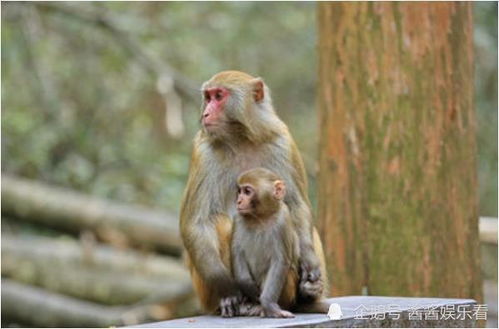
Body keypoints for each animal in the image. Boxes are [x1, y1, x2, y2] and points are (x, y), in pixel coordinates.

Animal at [231, 168, 300, 316]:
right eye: (240, 191)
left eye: (247, 191)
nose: (239, 201)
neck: (260, 217)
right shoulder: (238, 218)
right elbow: (236, 252)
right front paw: (247, 284)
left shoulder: (282, 220)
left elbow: (280, 262)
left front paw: (269, 306)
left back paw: (261, 307)